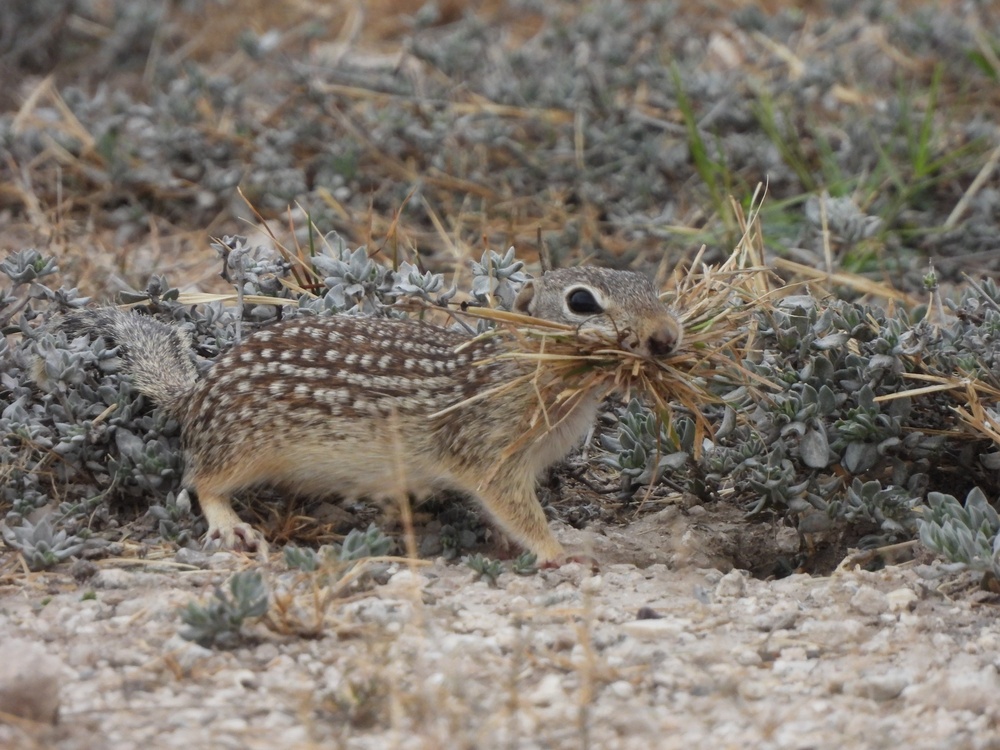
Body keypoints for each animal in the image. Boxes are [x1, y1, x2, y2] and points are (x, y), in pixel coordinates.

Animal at [68, 268, 680, 560]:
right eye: (581, 302)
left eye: (651, 286)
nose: (667, 338)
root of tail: (195, 394)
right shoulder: (490, 452)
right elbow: (517, 509)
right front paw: (561, 551)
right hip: (241, 448)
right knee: (201, 481)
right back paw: (229, 524)